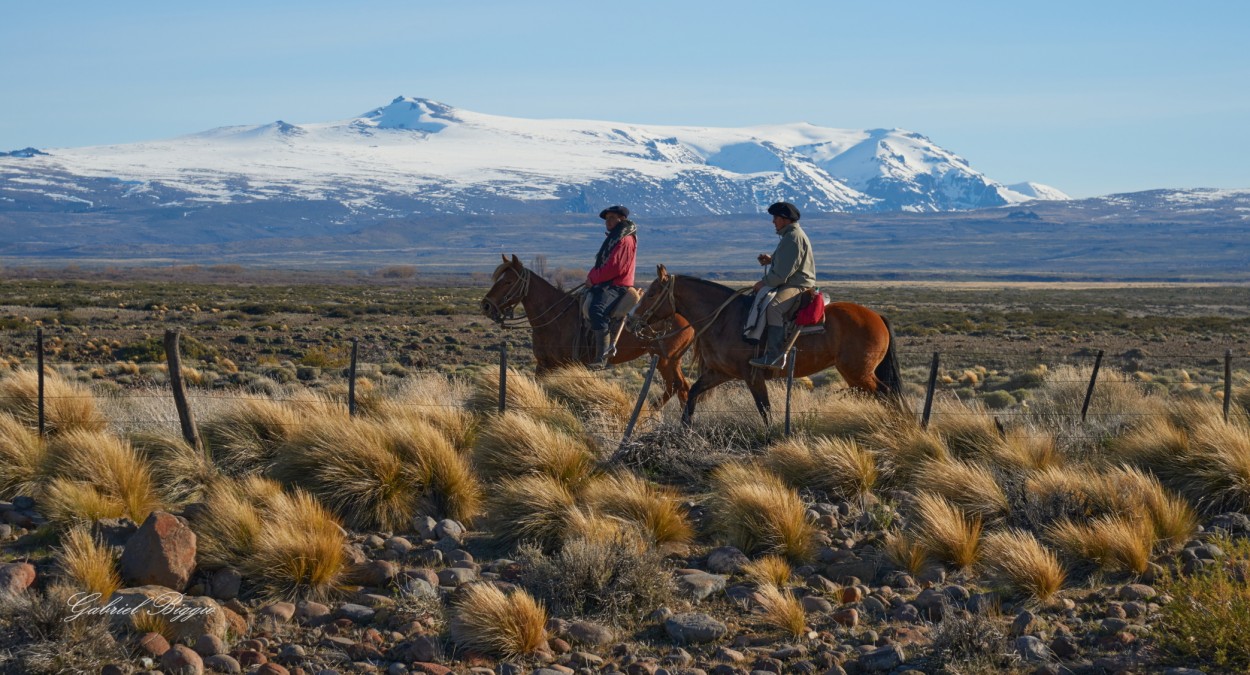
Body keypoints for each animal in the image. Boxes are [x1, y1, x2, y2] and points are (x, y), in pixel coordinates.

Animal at [477, 256, 695, 405]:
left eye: (508, 281)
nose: (486, 305)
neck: (555, 317)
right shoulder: (544, 364)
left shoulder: (569, 365)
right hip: (670, 360)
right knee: (679, 388)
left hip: (666, 359)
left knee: (678, 387)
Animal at [625, 266, 900, 425]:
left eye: (651, 293)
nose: (630, 320)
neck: (727, 319)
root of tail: (877, 316)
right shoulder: (720, 373)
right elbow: (692, 393)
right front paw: (685, 429)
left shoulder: (752, 376)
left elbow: (765, 410)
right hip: (855, 375)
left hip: (858, 372)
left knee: (886, 394)